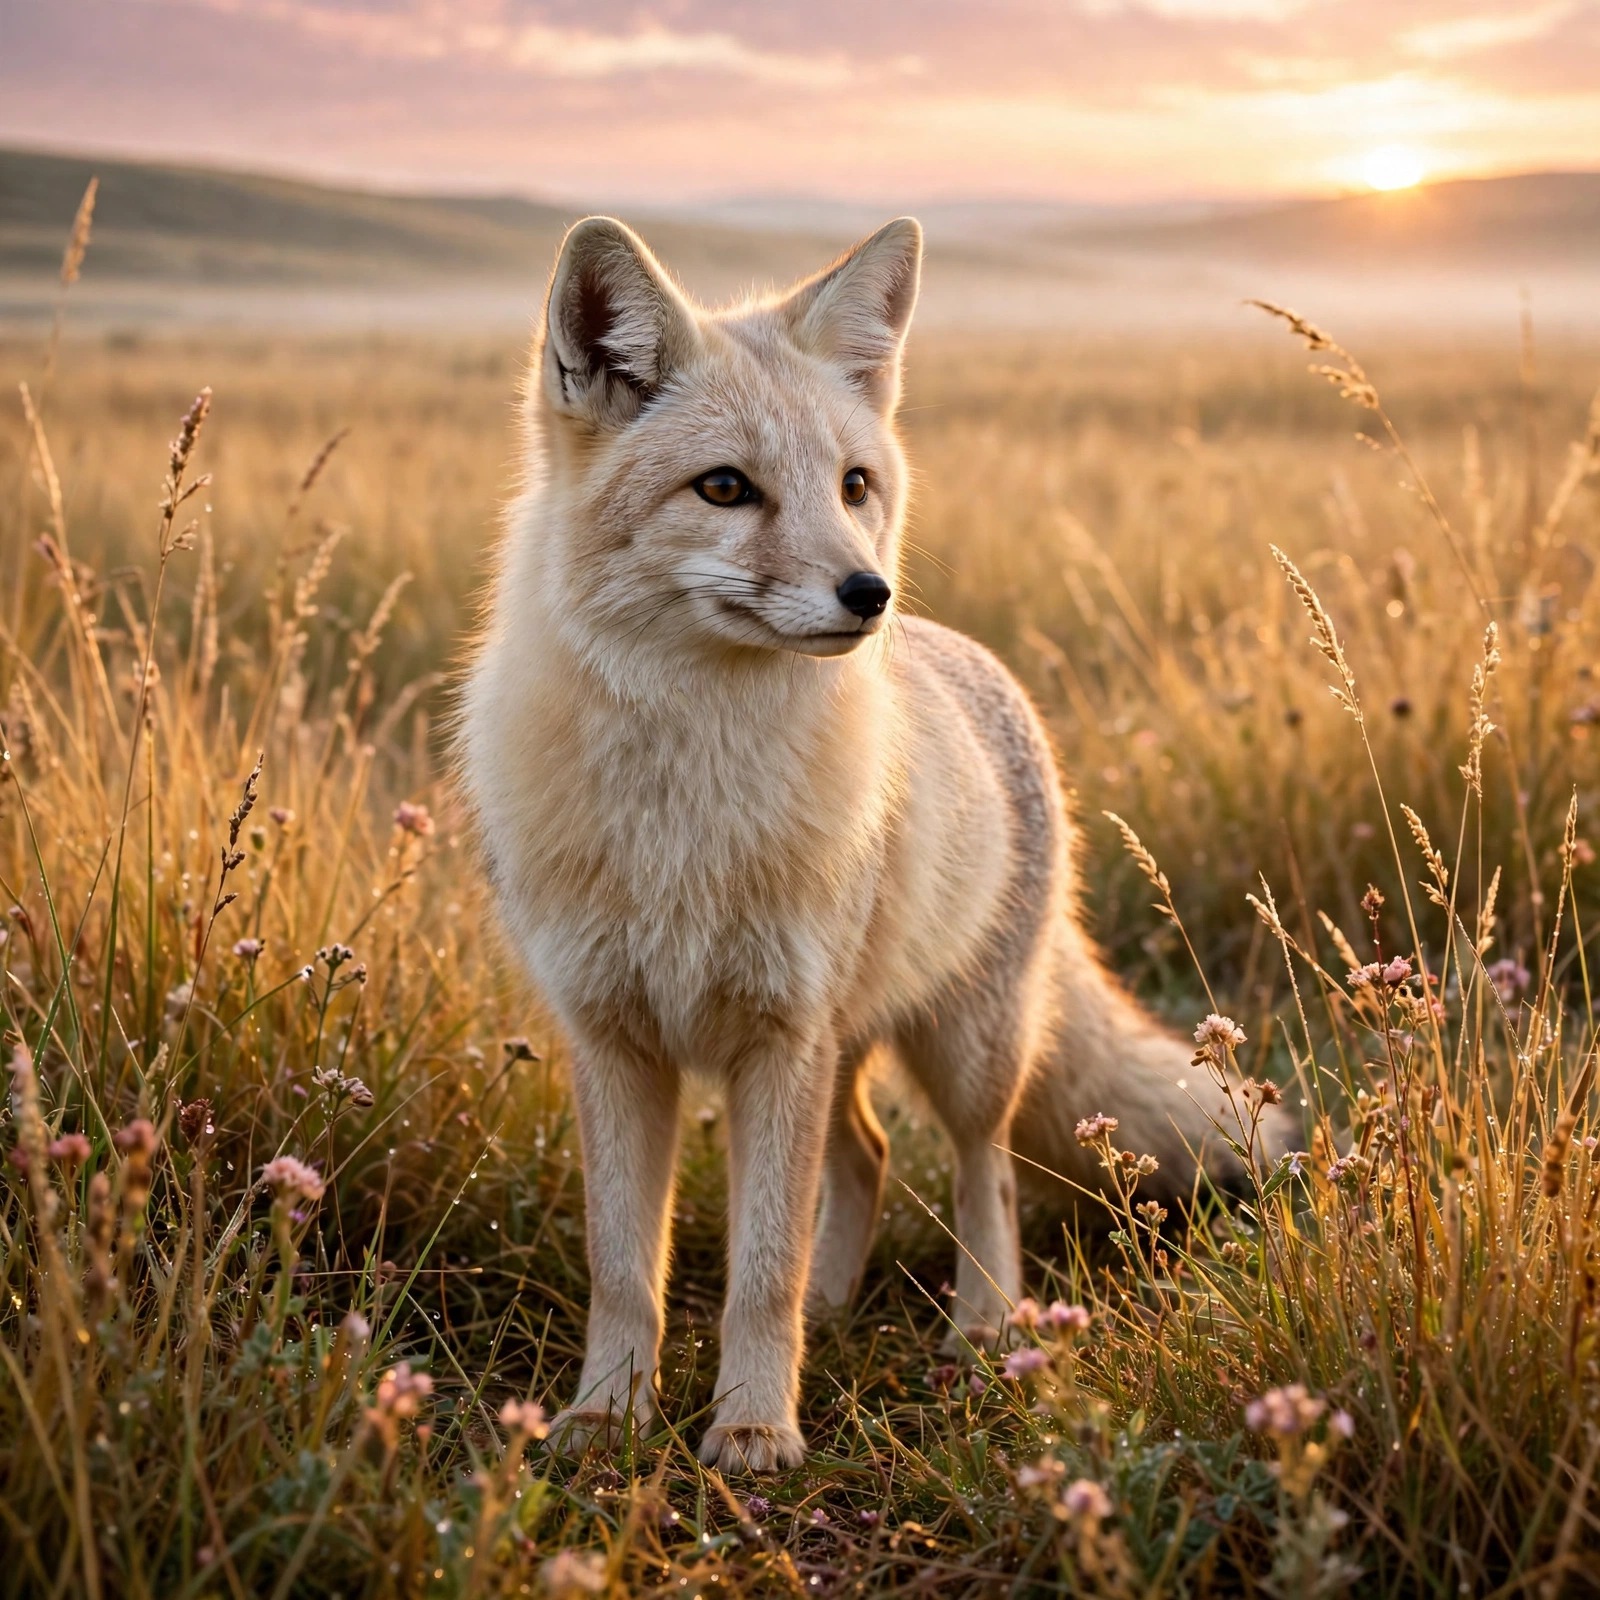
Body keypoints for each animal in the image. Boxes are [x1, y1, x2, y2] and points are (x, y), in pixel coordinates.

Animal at [460, 214, 1287, 1474]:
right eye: (725, 488)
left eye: (854, 485)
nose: (869, 592)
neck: (685, 805)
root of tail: (977, 661)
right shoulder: (616, 1040)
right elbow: (625, 1267)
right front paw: (607, 1416)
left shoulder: (778, 1037)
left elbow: (760, 1268)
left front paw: (754, 1426)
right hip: (846, 1044)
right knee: (865, 1154)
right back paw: (839, 1308)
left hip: (962, 1047)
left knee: (984, 1169)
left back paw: (984, 1328)